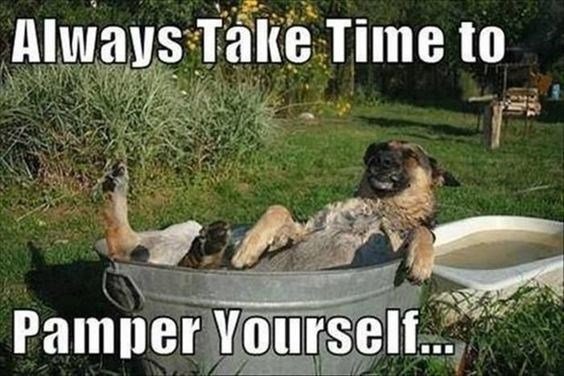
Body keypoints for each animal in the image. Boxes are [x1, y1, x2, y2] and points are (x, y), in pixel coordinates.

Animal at [102, 140, 458, 284]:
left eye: (410, 155)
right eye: (381, 148)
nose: (378, 160)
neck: (379, 204)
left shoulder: (391, 246)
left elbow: (422, 230)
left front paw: (421, 260)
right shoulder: (305, 227)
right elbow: (279, 209)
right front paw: (253, 245)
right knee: (123, 243)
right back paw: (114, 185)